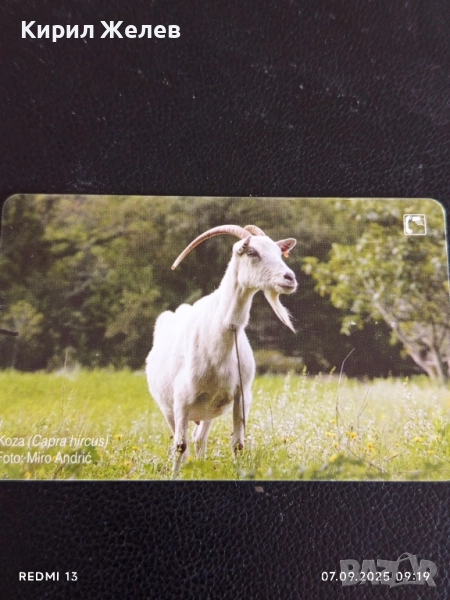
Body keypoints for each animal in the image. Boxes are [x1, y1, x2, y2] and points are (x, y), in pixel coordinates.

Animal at [145, 224, 297, 473]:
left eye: (279, 252)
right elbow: (179, 445)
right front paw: (175, 475)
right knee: (183, 440)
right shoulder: (180, 400)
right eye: (252, 252)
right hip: (169, 408)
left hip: (208, 409)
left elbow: (238, 444)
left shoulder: (241, 396)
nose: (290, 278)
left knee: (199, 438)